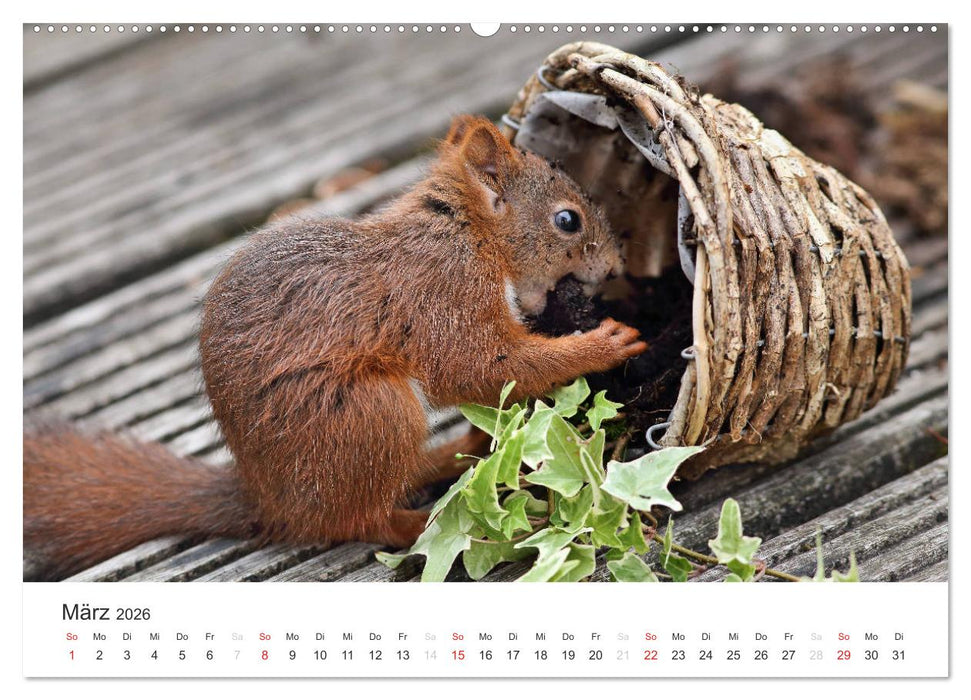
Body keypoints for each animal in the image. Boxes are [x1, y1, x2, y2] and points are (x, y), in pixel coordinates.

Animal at [23, 115, 647, 580]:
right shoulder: (444, 293)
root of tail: (272, 502)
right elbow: (474, 367)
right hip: (371, 413)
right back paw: (424, 524)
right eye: (567, 220)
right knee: (361, 521)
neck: (466, 232)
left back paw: (455, 456)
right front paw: (604, 344)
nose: (614, 268)